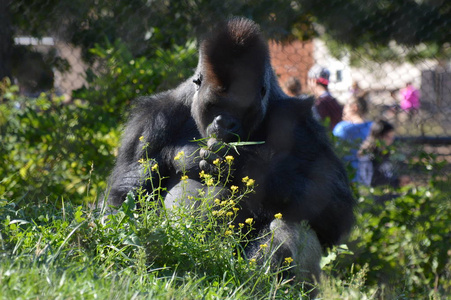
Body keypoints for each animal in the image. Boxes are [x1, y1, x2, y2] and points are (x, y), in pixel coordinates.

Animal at [107, 17, 356, 286]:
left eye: (240, 107)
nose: (225, 124)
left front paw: (241, 166)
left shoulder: (302, 124)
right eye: (215, 104)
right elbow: (124, 197)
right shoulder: (151, 120)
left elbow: (333, 206)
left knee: (291, 223)